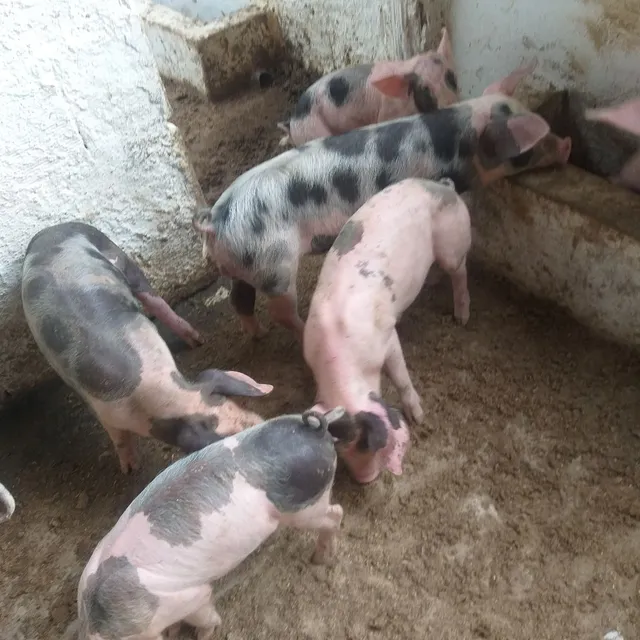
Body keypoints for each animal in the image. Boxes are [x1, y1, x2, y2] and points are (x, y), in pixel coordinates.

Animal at [21, 222, 272, 474]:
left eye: (233, 403)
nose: (261, 424)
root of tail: (52, 229)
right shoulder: (102, 409)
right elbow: (118, 437)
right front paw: (130, 469)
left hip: (118, 255)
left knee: (152, 298)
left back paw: (196, 340)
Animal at [72, 408, 345, 640]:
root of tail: (314, 428)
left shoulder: (187, 598)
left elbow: (204, 613)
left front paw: (202, 633)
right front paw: (173, 631)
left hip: (306, 505)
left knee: (336, 514)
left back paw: (320, 558)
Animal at [193, 59, 572, 342]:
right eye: (525, 150)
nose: (567, 144)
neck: (457, 141)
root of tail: (214, 220)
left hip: (243, 267)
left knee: (240, 301)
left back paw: (256, 336)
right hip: (275, 266)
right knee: (280, 311)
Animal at [278, 27, 459, 147]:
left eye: (451, 77)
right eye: (425, 89)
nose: (450, 104)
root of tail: (293, 121)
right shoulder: (388, 114)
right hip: (314, 130)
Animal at [303, 177, 470, 484]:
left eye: (380, 447)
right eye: (343, 456)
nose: (366, 480)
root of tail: (443, 185)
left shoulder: (388, 337)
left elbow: (401, 376)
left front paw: (420, 418)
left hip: (453, 243)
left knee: (459, 271)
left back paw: (461, 318)